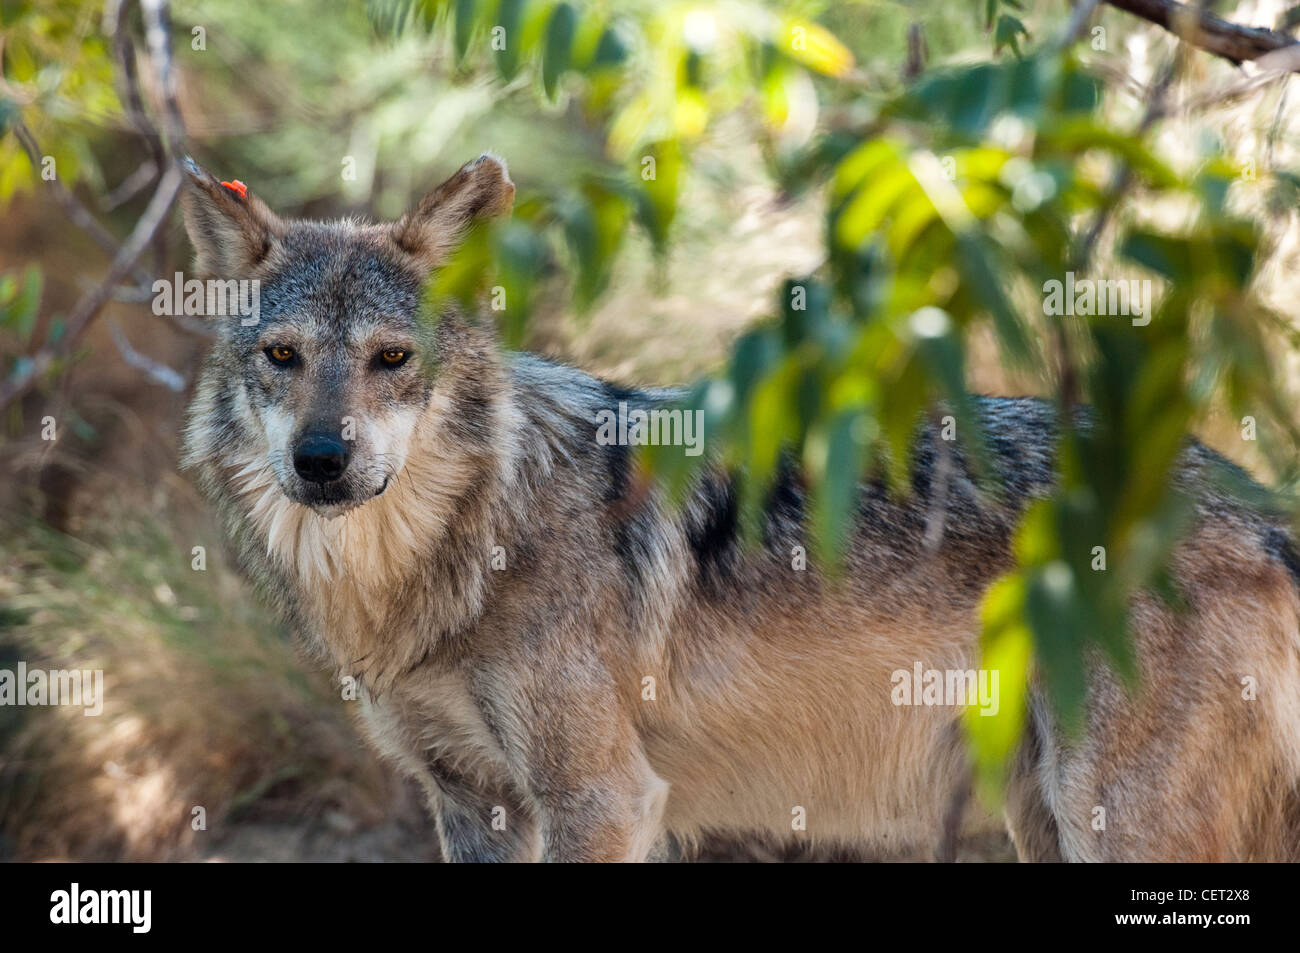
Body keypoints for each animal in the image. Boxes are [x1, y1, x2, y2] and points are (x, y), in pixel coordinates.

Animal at [178, 152, 1300, 858]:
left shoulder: (604, 799)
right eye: (282, 357)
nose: (323, 460)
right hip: (1044, 816)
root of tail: (1254, 506)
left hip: (1116, 818)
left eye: (390, 359)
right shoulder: (472, 801)